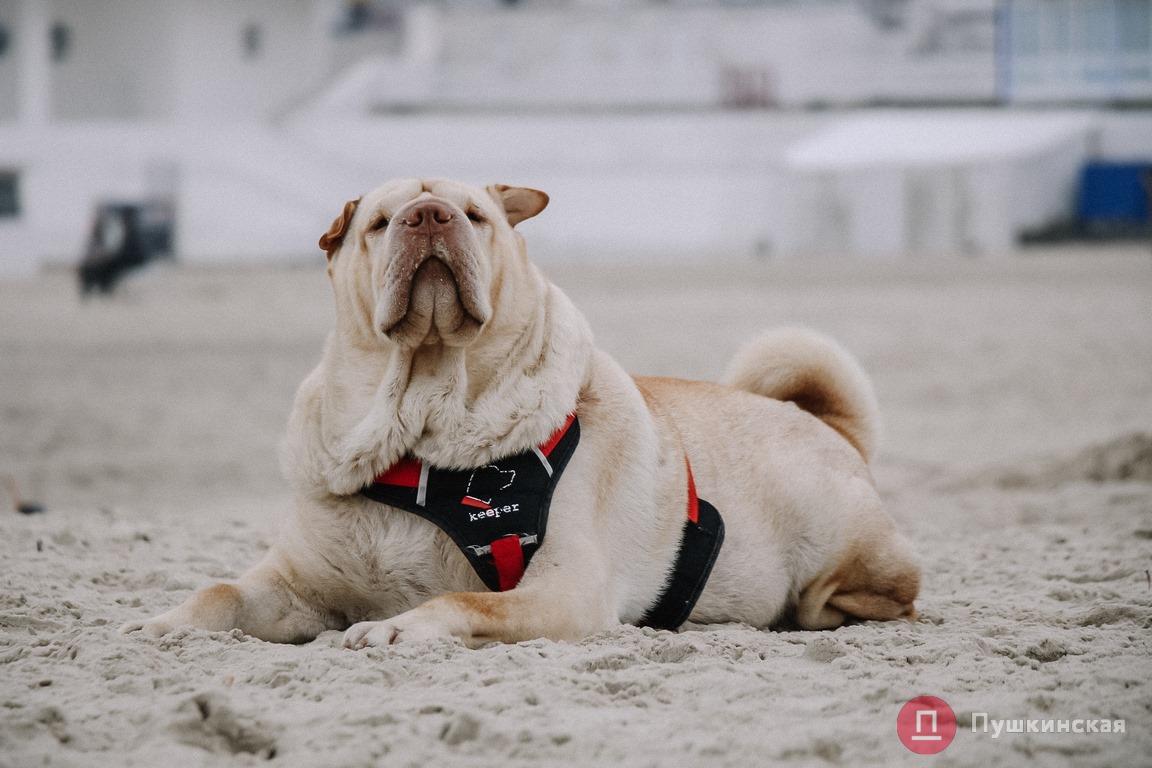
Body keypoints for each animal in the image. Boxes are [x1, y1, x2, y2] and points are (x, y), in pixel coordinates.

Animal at [123, 177, 916, 644]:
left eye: (474, 216)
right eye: (381, 223)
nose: (429, 216)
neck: (421, 424)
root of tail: (829, 425)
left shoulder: (565, 590)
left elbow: (464, 603)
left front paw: (398, 628)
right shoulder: (297, 584)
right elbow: (219, 591)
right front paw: (164, 623)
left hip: (837, 544)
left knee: (883, 592)